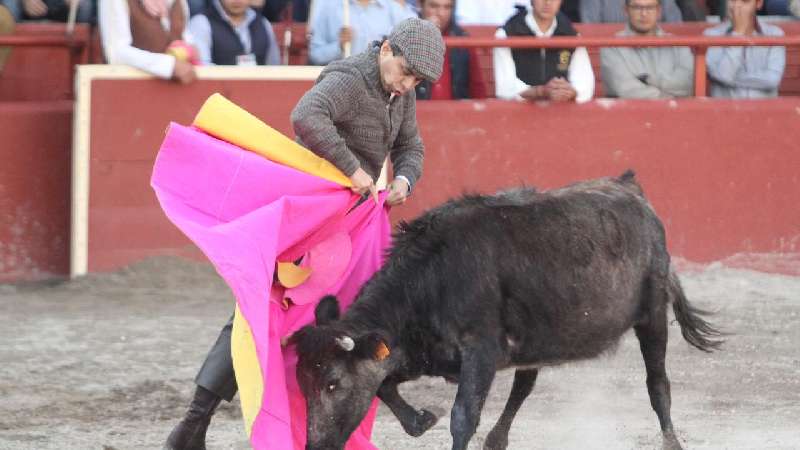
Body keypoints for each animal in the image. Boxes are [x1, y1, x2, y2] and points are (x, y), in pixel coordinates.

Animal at [290, 171, 720, 448]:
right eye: (302, 383)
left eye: (333, 383)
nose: (315, 445)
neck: (434, 278)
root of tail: (630, 189)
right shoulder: (420, 351)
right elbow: (384, 384)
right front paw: (421, 420)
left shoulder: (479, 352)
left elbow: (463, 417)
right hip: (539, 335)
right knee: (524, 384)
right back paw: (497, 439)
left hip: (652, 314)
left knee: (658, 384)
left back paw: (671, 442)